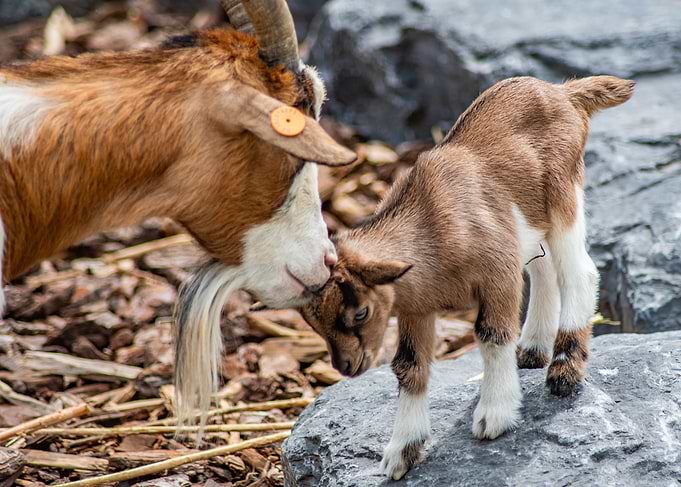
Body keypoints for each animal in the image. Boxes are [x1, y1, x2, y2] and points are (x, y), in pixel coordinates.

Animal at [300, 75, 635, 480]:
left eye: (360, 312)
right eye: (314, 323)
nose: (346, 367)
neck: (431, 227)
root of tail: (563, 92)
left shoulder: (498, 273)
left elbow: (492, 335)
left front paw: (495, 415)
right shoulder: (416, 304)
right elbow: (408, 365)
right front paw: (402, 451)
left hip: (563, 193)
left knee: (578, 272)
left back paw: (563, 370)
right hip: (528, 224)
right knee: (543, 271)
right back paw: (532, 351)